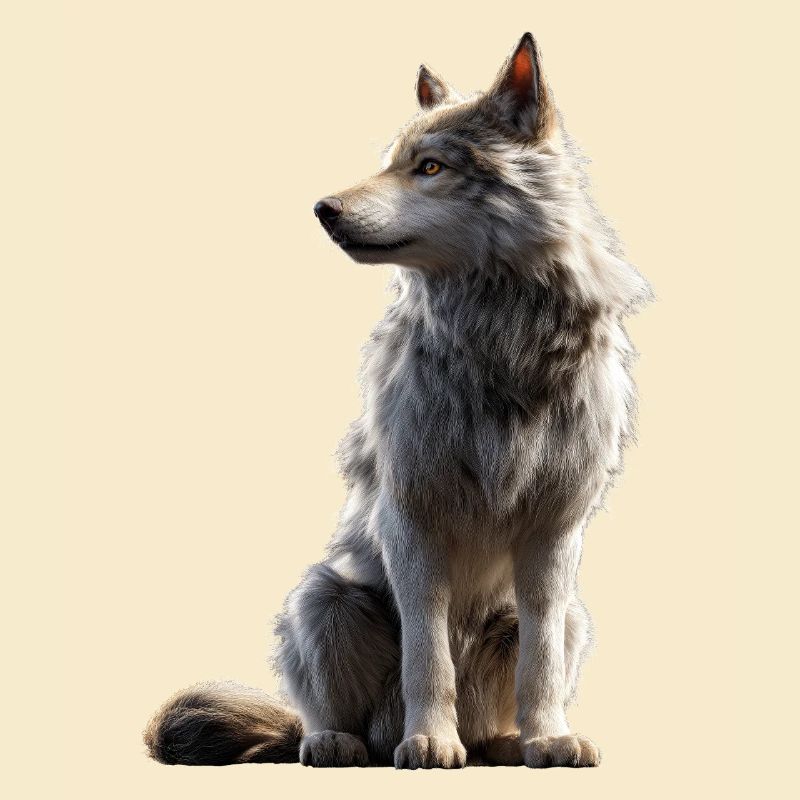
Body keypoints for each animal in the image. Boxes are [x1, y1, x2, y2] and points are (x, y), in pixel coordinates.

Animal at [144, 33, 649, 769]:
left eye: (430, 167)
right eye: (390, 164)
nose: (323, 209)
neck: (500, 342)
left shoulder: (555, 531)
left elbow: (542, 663)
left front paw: (549, 739)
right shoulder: (410, 519)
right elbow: (427, 654)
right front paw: (430, 742)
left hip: (570, 616)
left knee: (518, 684)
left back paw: (503, 744)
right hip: (323, 598)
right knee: (324, 716)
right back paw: (342, 742)